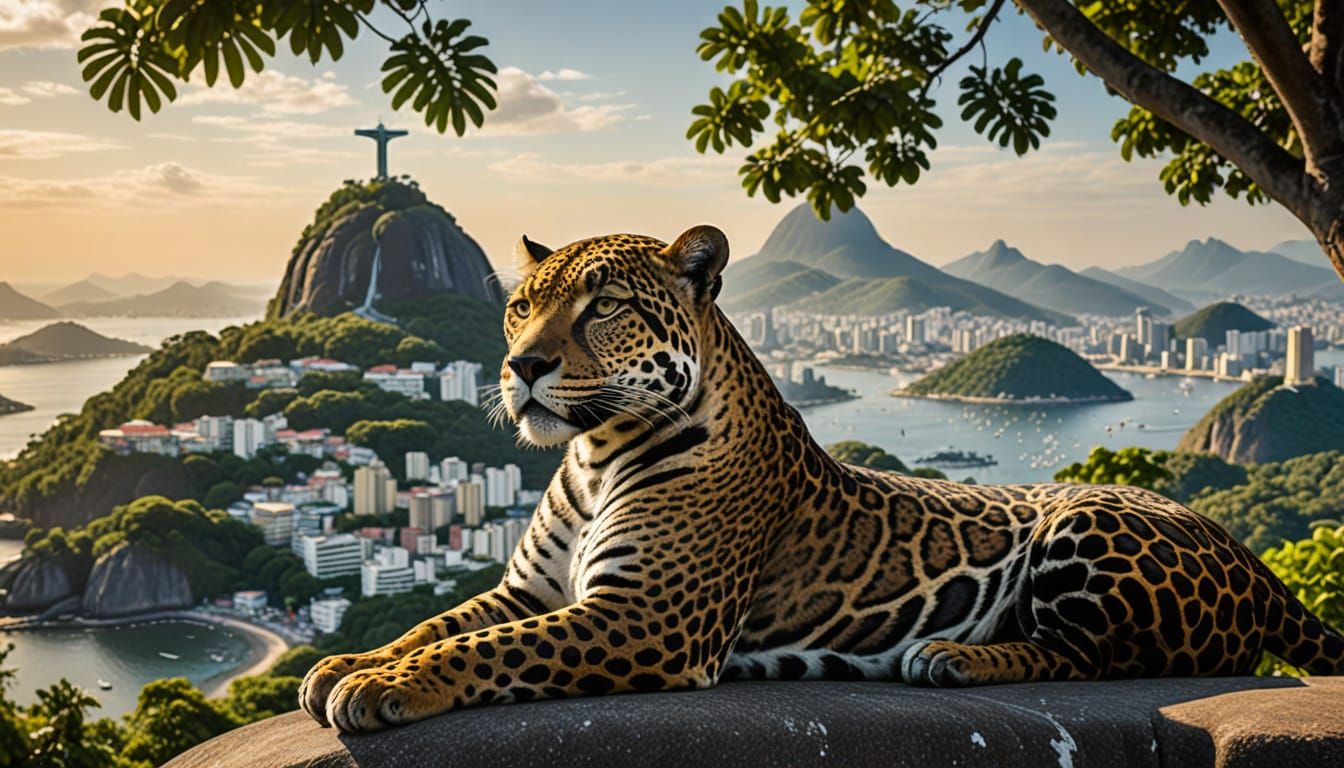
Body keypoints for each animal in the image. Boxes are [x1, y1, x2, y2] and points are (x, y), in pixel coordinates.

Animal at [300, 224, 1344, 733]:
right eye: (520, 305)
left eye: (603, 308)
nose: (522, 366)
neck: (592, 458)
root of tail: (1253, 561)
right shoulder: (530, 589)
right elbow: (437, 624)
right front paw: (349, 664)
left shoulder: (644, 616)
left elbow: (482, 653)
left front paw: (383, 688)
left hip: (1086, 527)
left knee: (1103, 657)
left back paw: (955, 658)